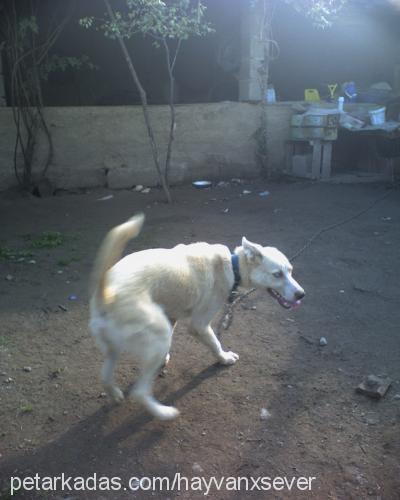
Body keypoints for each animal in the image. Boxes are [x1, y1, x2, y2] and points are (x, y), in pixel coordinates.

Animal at [89, 213, 304, 420]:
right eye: (277, 274)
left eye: (291, 271)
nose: (301, 294)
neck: (232, 266)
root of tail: (106, 294)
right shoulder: (199, 325)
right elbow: (216, 343)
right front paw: (224, 358)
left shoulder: (171, 316)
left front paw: (165, 359)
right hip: (158, 336)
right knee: (140, 392)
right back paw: (164, 413)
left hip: (115, 347)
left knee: (104, 376)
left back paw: (116, 394)